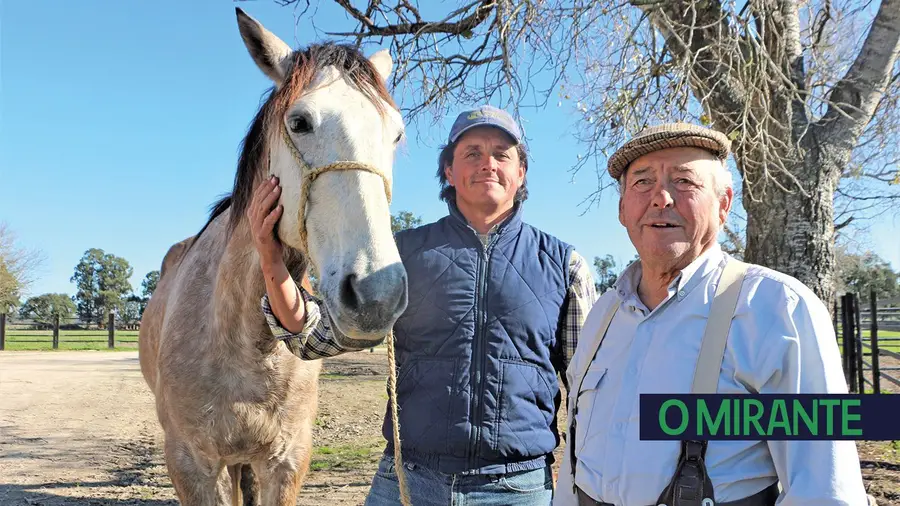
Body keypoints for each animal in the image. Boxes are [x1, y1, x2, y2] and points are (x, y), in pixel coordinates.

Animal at [137, 8, 408, 506]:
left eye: (395, 134)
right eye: (299, 122)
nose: (376, 294)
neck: (243, 338)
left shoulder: (286, 461)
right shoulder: (191, 466)